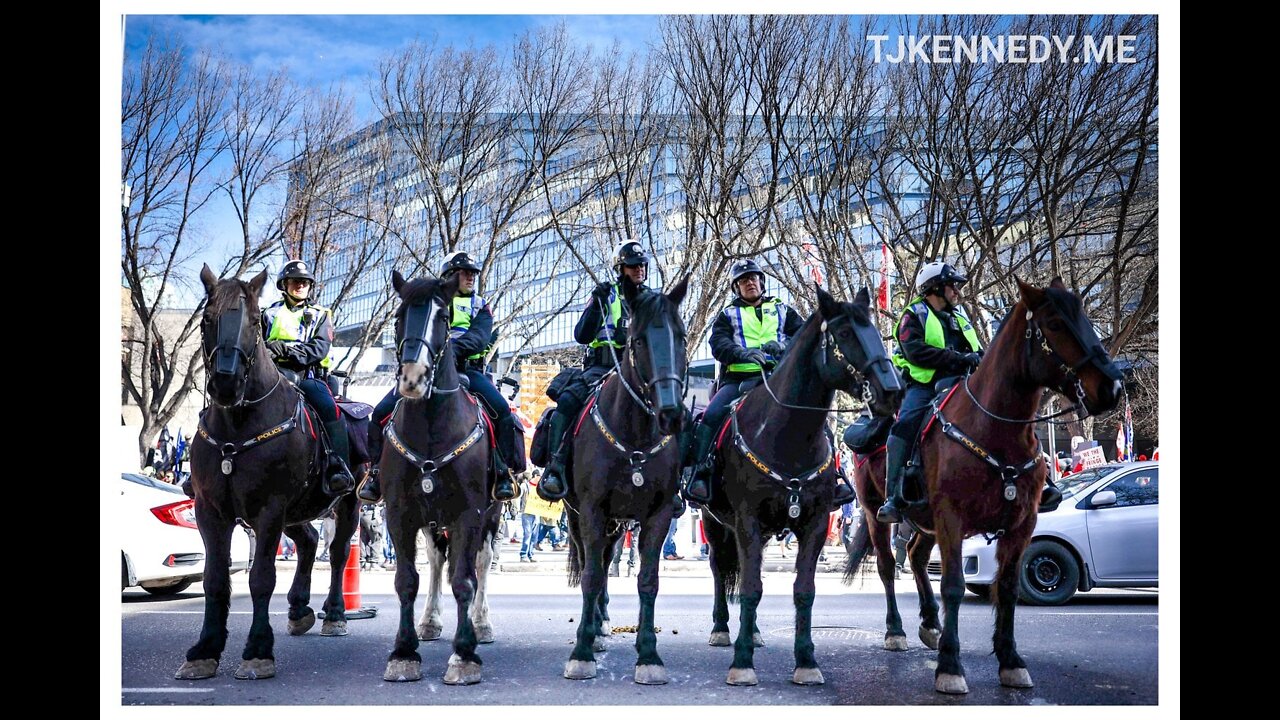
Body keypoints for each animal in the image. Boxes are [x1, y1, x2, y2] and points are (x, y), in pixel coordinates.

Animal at [175, 266, 360, 681]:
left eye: (255, 321)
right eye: (207, 319)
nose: (225, 382)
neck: (238, 423)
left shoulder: (269, 509)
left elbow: (261, 577)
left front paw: (258, 650)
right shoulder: (211, 511)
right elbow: (215, 579)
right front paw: (204, 650)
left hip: (348, 503)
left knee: (337, 553)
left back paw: (335, 614)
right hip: (299, 510)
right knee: (308, 541)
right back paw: (299, 608)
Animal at [373, 270, 499, 681]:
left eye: (443, 317)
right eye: (399, 316)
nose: (413, 378)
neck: (431, 426)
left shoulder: (469, 513)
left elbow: (464, 580)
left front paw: (464, 653)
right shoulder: (399, 512)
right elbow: (407, 580)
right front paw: (404, 651)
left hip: (491, 515)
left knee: (481, 562)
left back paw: (481, 622)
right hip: (431, 518)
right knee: (436, 559)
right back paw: (429, 620)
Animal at [563, 272, 691, 676]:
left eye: (681, 338)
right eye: (638, 341)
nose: (671, 414)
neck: (635, 434)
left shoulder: (659, 514)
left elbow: (648, 580)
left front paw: (648, 654)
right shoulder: (591, 510)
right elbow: (590, 577)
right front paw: (581, 651)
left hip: (617, 523)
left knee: (606, 560)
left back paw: (601, 624)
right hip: (578, 516)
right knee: (593, 564)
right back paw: (593, 629)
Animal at [701, 285, 901, 681]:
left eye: (874, 329)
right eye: (844, 333)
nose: (891, 391)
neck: (786, 434)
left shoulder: (816, 521)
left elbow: (803, 590)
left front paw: (806, 661)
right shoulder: (746, 520)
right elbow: (750, 588)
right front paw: (742, 662)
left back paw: (754, 631)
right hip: (713, 522)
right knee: (719, 567)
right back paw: (721, 628)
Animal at [870, 274, 1121, 691]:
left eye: (1086, 317)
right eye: (1055, 324)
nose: (1112, 388)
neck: (995, 427)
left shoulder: (1022, 523)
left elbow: (1006, 588)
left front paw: (1010, 660)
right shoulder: (951, 518)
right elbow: (953, 585)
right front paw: (950, 665)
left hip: (923, 521)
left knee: (917, 558)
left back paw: (930, 624)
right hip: (876, 513)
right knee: (889, 566)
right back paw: (896, 630)